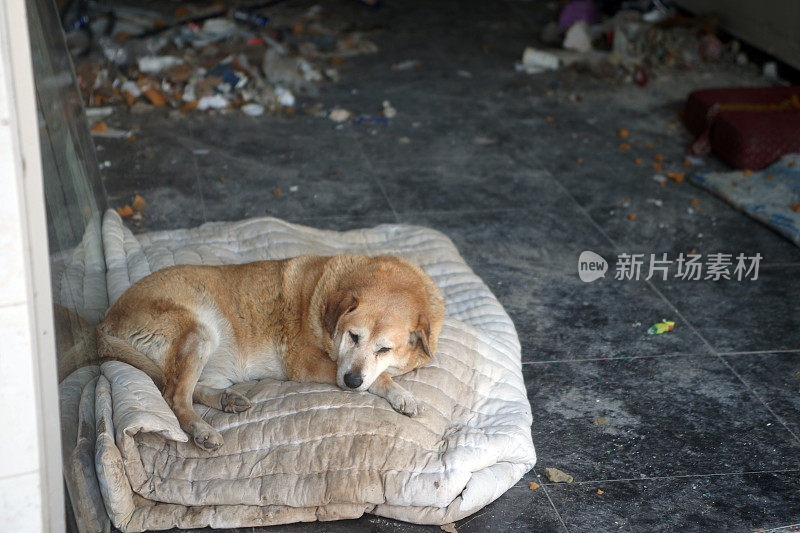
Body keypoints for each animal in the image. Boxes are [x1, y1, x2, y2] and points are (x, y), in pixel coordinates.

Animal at [97, 254, 446, 448]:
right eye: (353, 336)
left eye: (384, 348)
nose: (350, 382)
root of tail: (107, 320)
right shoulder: (307, 364)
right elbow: (381, 379)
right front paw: (402, 394)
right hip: (199, 334)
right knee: (174, 396)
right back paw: (202, 430)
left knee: (182, 387)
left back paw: (227, 400)